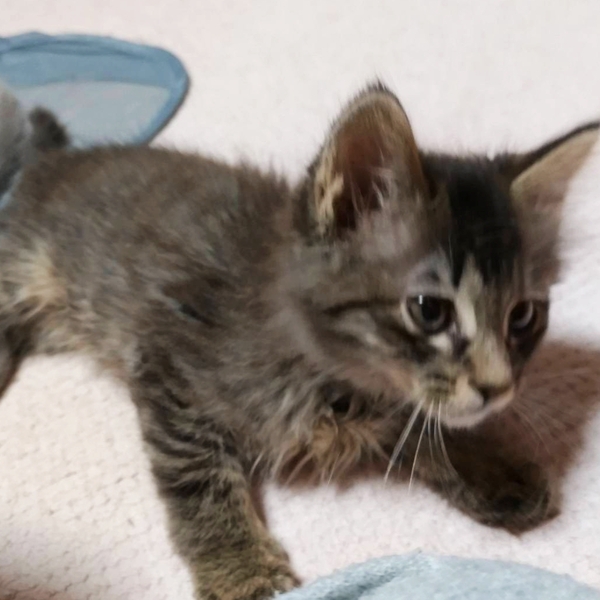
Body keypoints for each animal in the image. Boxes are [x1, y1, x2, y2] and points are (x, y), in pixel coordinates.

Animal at [0, 82, 597, 600]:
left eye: (523, 316)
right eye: (430, 310)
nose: (499, 390)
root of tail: (50, 164)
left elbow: (425, 424)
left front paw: (493, 470)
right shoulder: (168, 363)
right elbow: (199, 480)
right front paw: (242, 569)